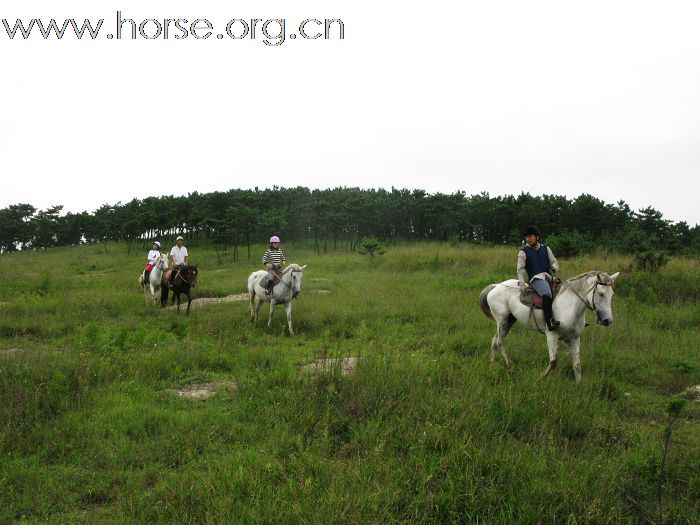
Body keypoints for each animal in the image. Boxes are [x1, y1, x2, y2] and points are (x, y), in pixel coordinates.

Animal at [478, 270, 620, 380]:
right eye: (601, 294)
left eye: (612, 294)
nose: (608, 320)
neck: (569, 306)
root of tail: (496, 286)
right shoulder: (552, 335)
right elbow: (553, 362)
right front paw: (541, 377)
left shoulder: (574, 339)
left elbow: (577, 365)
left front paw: (579, 386)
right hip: (502, 321)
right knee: (500, 342)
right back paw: (510, 365)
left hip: (509, 321)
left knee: (494, 341)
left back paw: (492, 365)